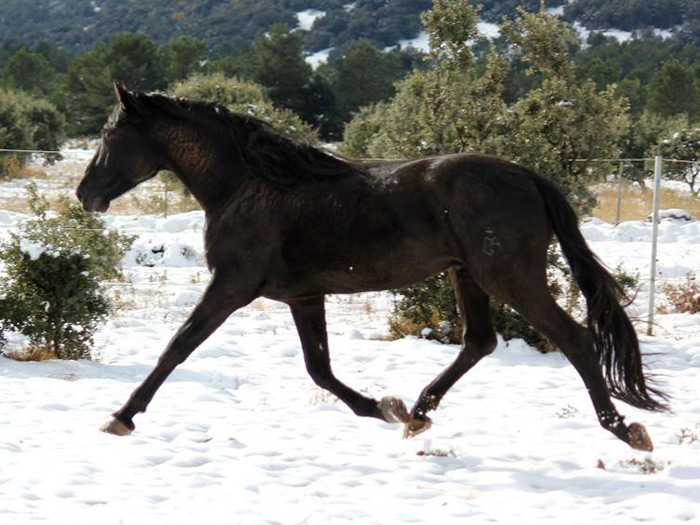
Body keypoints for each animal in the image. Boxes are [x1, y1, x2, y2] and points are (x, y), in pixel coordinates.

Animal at [77, 83, 667, 451]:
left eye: (109, 137)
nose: (85, 196)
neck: (247, 185)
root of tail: (529, 176)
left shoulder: (231, 287)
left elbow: (177, 347)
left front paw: (120, 416)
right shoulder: (303, 297)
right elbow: (319, 368)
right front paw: (387, 408)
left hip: (509, 276)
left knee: (575, 338)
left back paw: (625, 430)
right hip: (469, 275)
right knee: (479, 340)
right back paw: (420, 414)